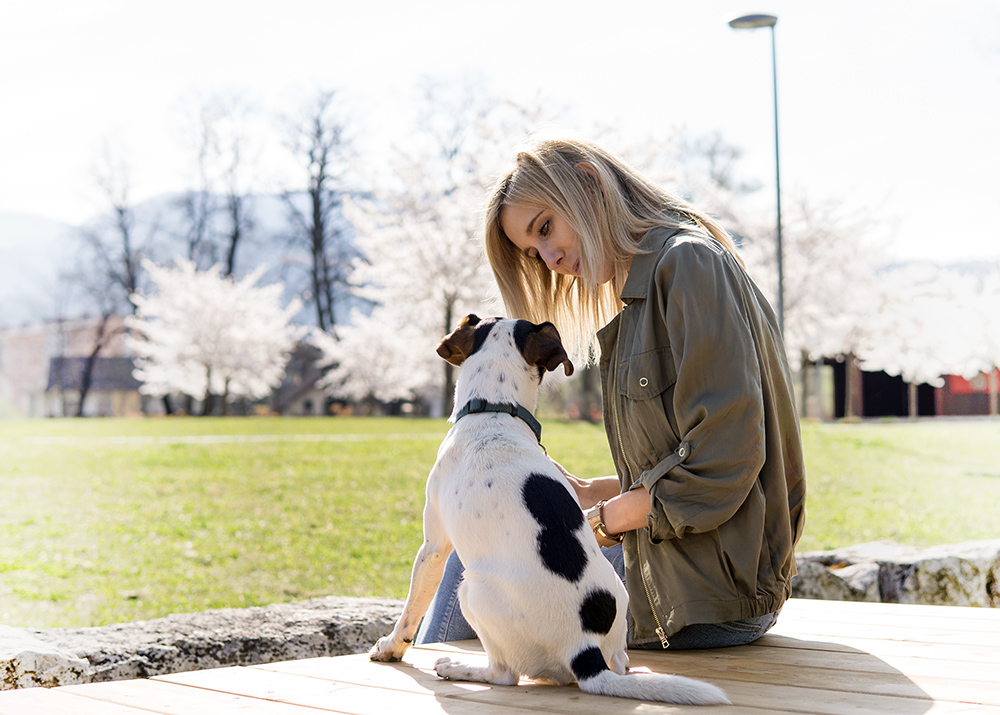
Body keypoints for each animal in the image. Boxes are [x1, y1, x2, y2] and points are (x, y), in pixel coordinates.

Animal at [368, 318, 728, 704]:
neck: (494, 411)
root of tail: (584, 652)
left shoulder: (433, 547)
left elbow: (411, 608)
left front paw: (391, 647)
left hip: (471, 589)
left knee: (504, 674)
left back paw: (460, 668)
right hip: (619, 600)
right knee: (618, 663)